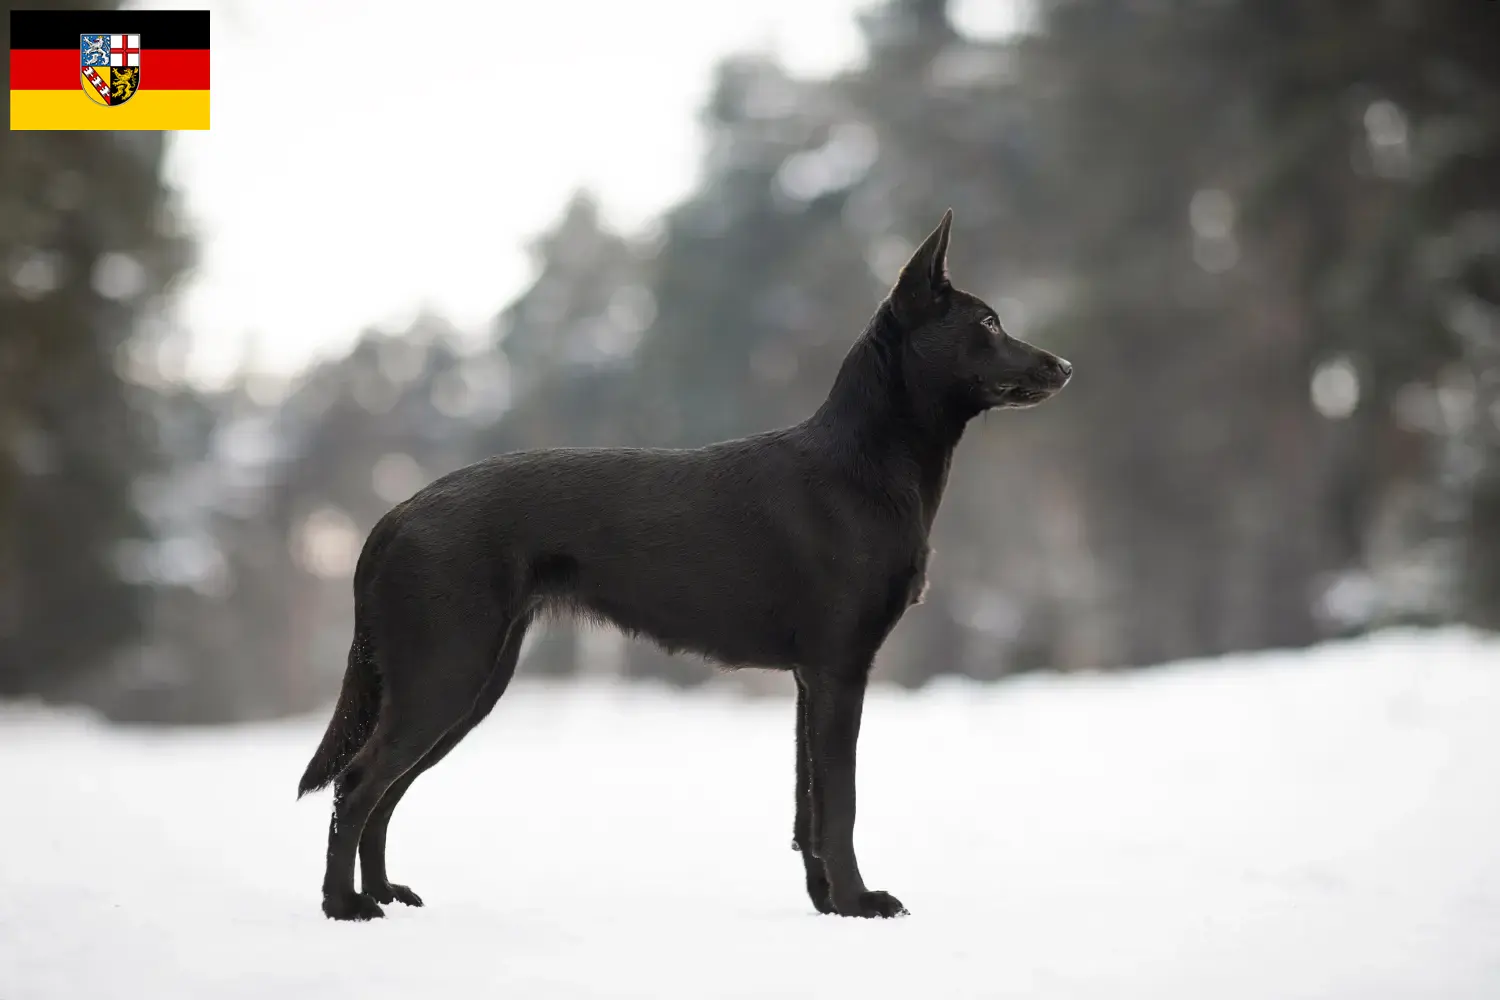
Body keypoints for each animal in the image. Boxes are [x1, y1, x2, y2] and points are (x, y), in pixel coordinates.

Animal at [295, 209, 1068, 923]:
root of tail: (397, 515)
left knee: (384, 793)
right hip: (445, 675)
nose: (1064, 367)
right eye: (990, 322)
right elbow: (840, 803)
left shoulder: (808, 680)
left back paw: (383, 894)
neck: (866, 465)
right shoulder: (840, 671)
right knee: (357, 786)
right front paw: (858, 902)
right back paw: (344, 906)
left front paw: (825, 903)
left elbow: (807, 809)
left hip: (464, 684)